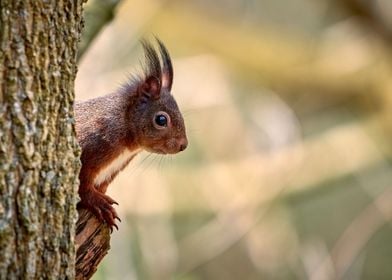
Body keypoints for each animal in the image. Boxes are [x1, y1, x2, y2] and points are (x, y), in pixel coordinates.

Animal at [75, 40, 188, 232]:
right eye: (161, 119)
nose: (183, 145)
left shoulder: (111, 172)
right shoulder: (88, 148)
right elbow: (83, 187)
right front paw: (98, 203)